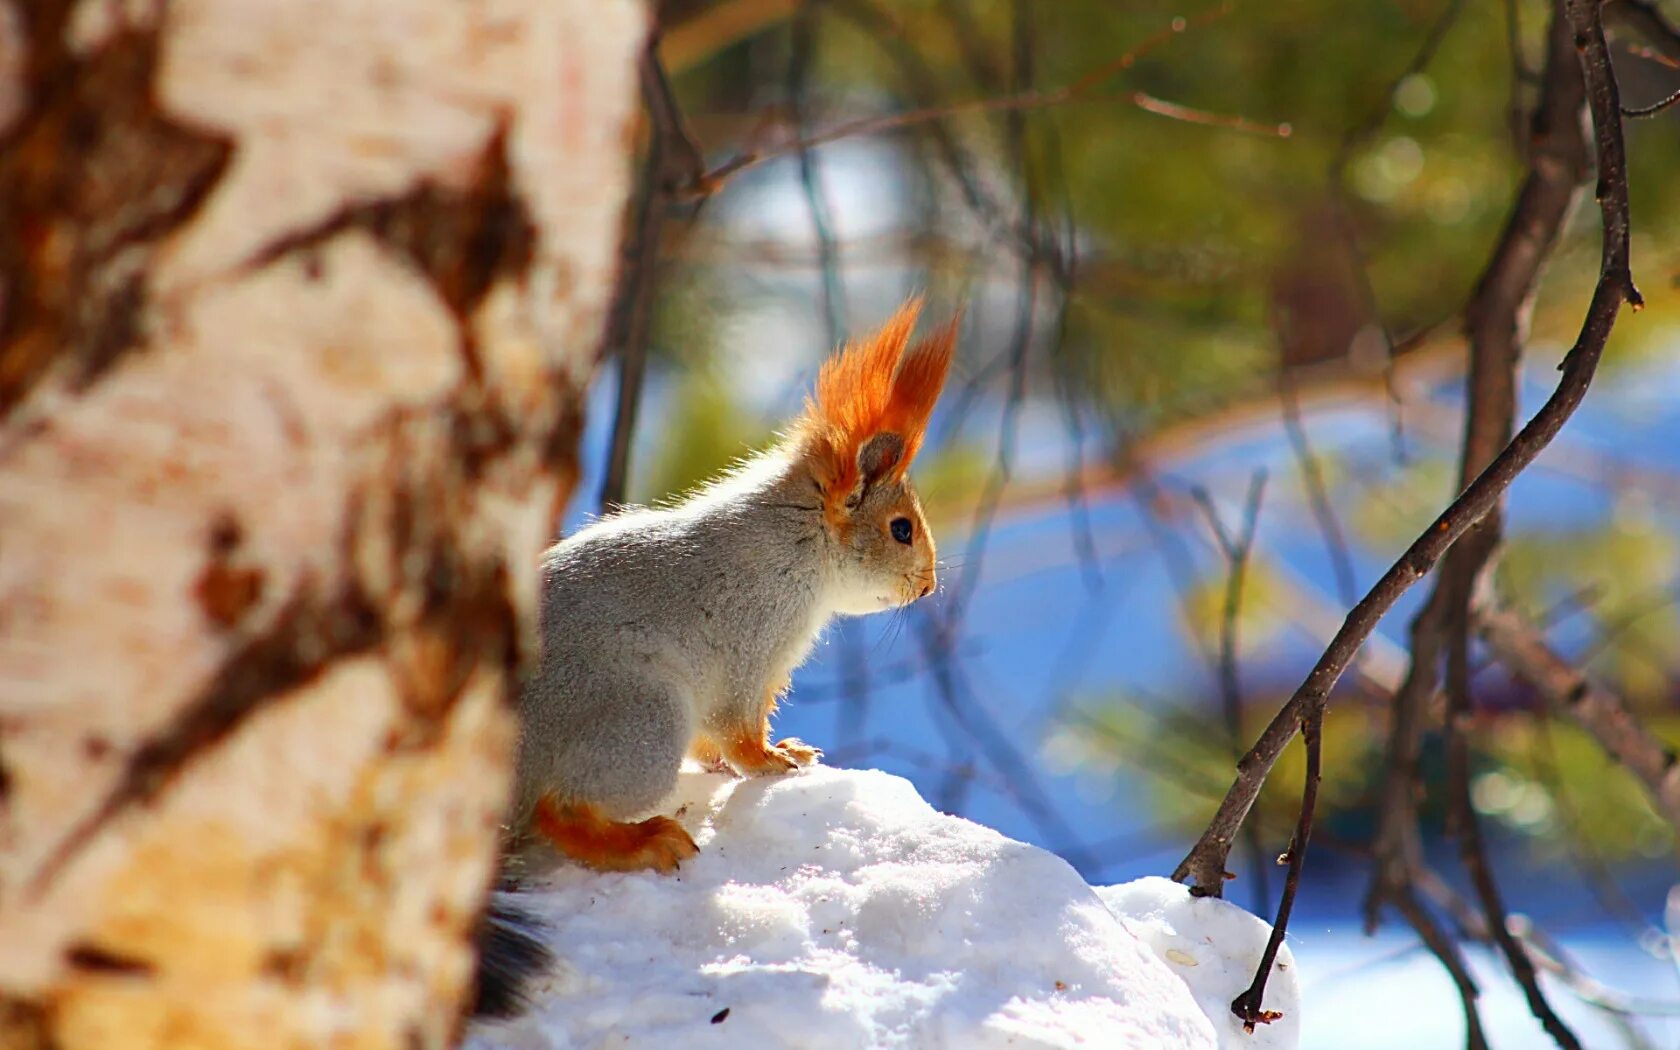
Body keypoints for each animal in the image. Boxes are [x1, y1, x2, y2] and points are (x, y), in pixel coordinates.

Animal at [473, 295, 960, 1014]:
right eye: (901, 529)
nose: (926, 587)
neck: (797, 542)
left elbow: (714, 742)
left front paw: (762, 756)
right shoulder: (751, 644)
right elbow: (737, 727)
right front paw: (773, 761)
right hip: (641, 717)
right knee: (559, 810)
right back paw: (642, 842)